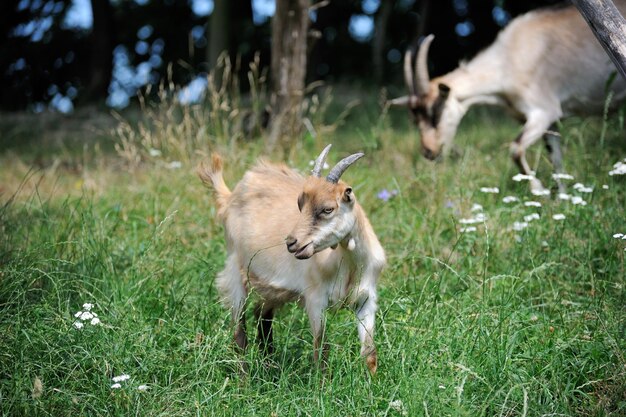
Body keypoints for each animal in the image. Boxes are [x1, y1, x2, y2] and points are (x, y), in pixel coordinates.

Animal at [197, 145, 386, 372]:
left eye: (327, 209)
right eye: (300, 204)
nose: (292, 242)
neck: (350, 265)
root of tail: (229, 197)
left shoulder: (366, 299)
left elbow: (369, 353)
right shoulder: (315, 298)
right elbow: (321, 349)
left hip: (270, 288)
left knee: (262, 317)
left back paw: (269, 366)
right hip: (235, 271)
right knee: (239, 332)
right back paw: (245, 377)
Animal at [388, 3, 624, 192]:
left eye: (437, 111)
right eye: (414, 118)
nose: (429, 151)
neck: (508, 61)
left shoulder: (543, 110)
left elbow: (515, 148)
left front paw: (540, 190)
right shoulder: (550, 122)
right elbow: (556, 159)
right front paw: (563, 199)